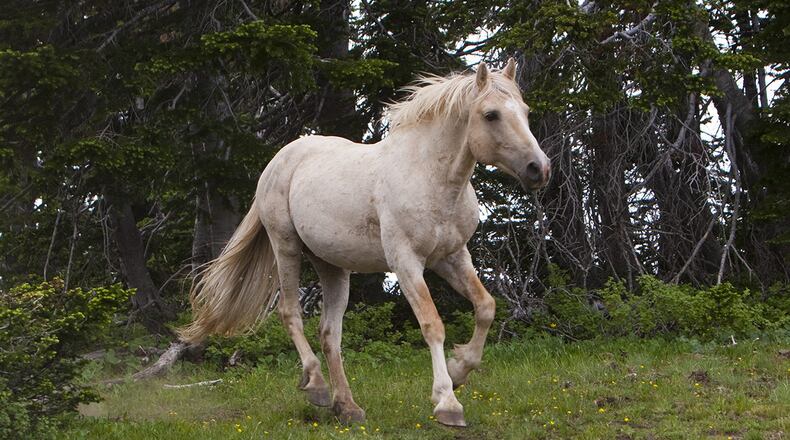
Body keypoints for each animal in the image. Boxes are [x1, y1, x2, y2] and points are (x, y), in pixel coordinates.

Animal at [179, 58, 550, 427]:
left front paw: (459, 370)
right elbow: (432, 324)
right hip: (285, 246)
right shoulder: (406, 262)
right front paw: (447, 402)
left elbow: (486, 307)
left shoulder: (452, 257)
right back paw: (317, 386)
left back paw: (347, 407)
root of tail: (278, 160)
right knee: (290, 313)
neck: (430, 176)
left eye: (525, 111)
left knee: (330, 333)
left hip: (332, 267)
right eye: (491, 115)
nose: (539, 169)